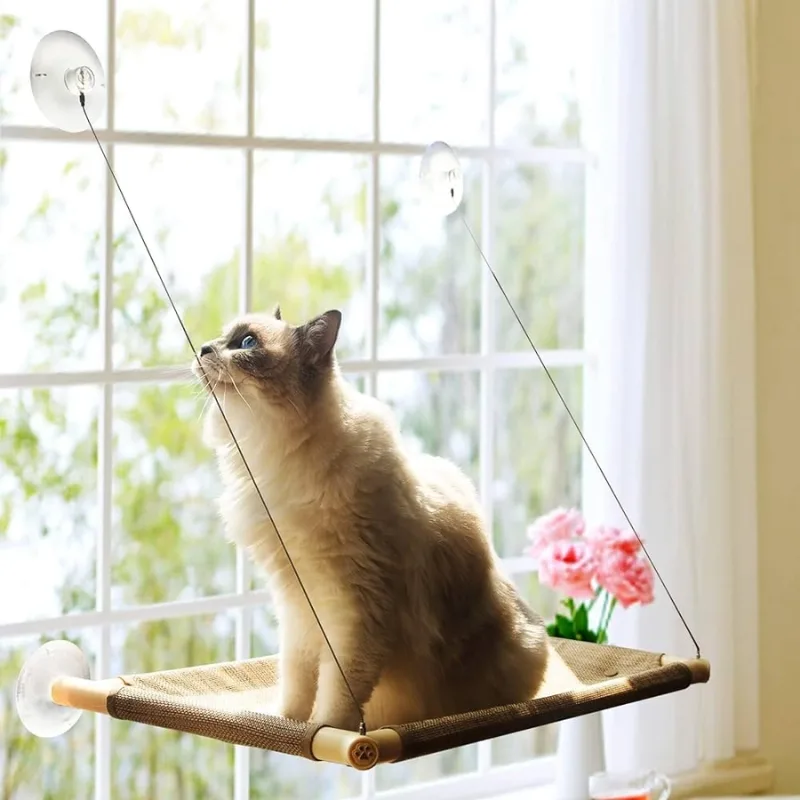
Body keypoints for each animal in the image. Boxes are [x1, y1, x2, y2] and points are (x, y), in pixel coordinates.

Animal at [192, 306, 552, 732]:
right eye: (224, 338)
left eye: (246, 343)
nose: (202, 348)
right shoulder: (297, 607)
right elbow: (296, 685)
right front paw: (285, 726)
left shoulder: (355, 615)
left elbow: (335, 703)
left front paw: (323, 734)